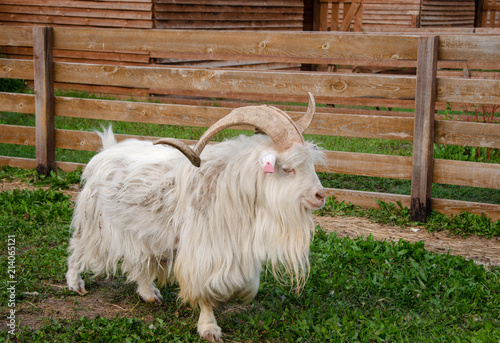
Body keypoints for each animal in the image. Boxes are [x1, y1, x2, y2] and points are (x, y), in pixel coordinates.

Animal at [65, 92, 324, 342]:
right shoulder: (203, 253)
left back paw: (149, 293)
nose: (320, 196)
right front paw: (209, 328)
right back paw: (75, 283)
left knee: (138, 260)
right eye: (287, 168)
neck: (228, 188)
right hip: (94, 222)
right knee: (78, 247)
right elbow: (204, 290)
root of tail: (106, 150)